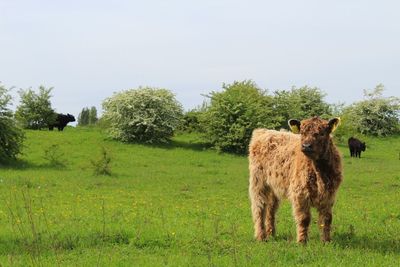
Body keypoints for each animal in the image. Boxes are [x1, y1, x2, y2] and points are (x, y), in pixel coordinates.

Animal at [248, 116, 342, 244]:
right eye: (302, 132)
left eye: (322, 133)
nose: (306, 146)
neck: (320, 173)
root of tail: (264, 131)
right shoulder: (300, 193)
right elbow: (304, 218)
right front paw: (302, 241)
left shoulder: (329, 195)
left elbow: (327, 219)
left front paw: (326, 241)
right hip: (258, 182)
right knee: (259, 207)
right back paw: (261, 237)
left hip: (273, 187)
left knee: (271, 209)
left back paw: (271, 234)